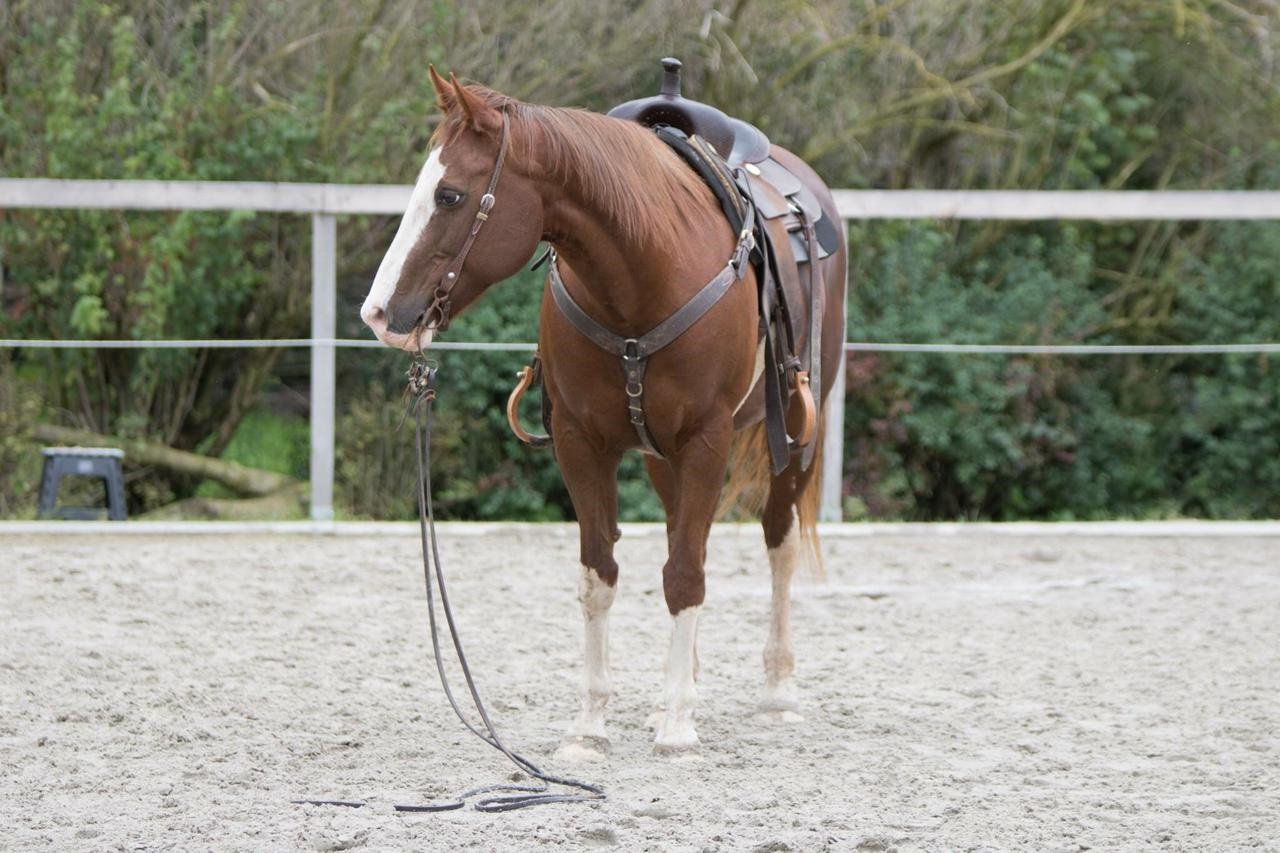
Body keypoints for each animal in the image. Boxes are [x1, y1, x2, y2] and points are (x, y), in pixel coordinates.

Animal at [360, 69, 844, 753]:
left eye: (451, 196)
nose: (378, 314)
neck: (644, 275)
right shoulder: (580, 443)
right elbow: (602, 577)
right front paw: (592, 724)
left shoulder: (707, 441)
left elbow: (687, 575)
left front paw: (678, 727)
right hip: (662, 458)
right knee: (680, 536)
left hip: (798, 433)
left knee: (777, 543)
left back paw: (776, 690)